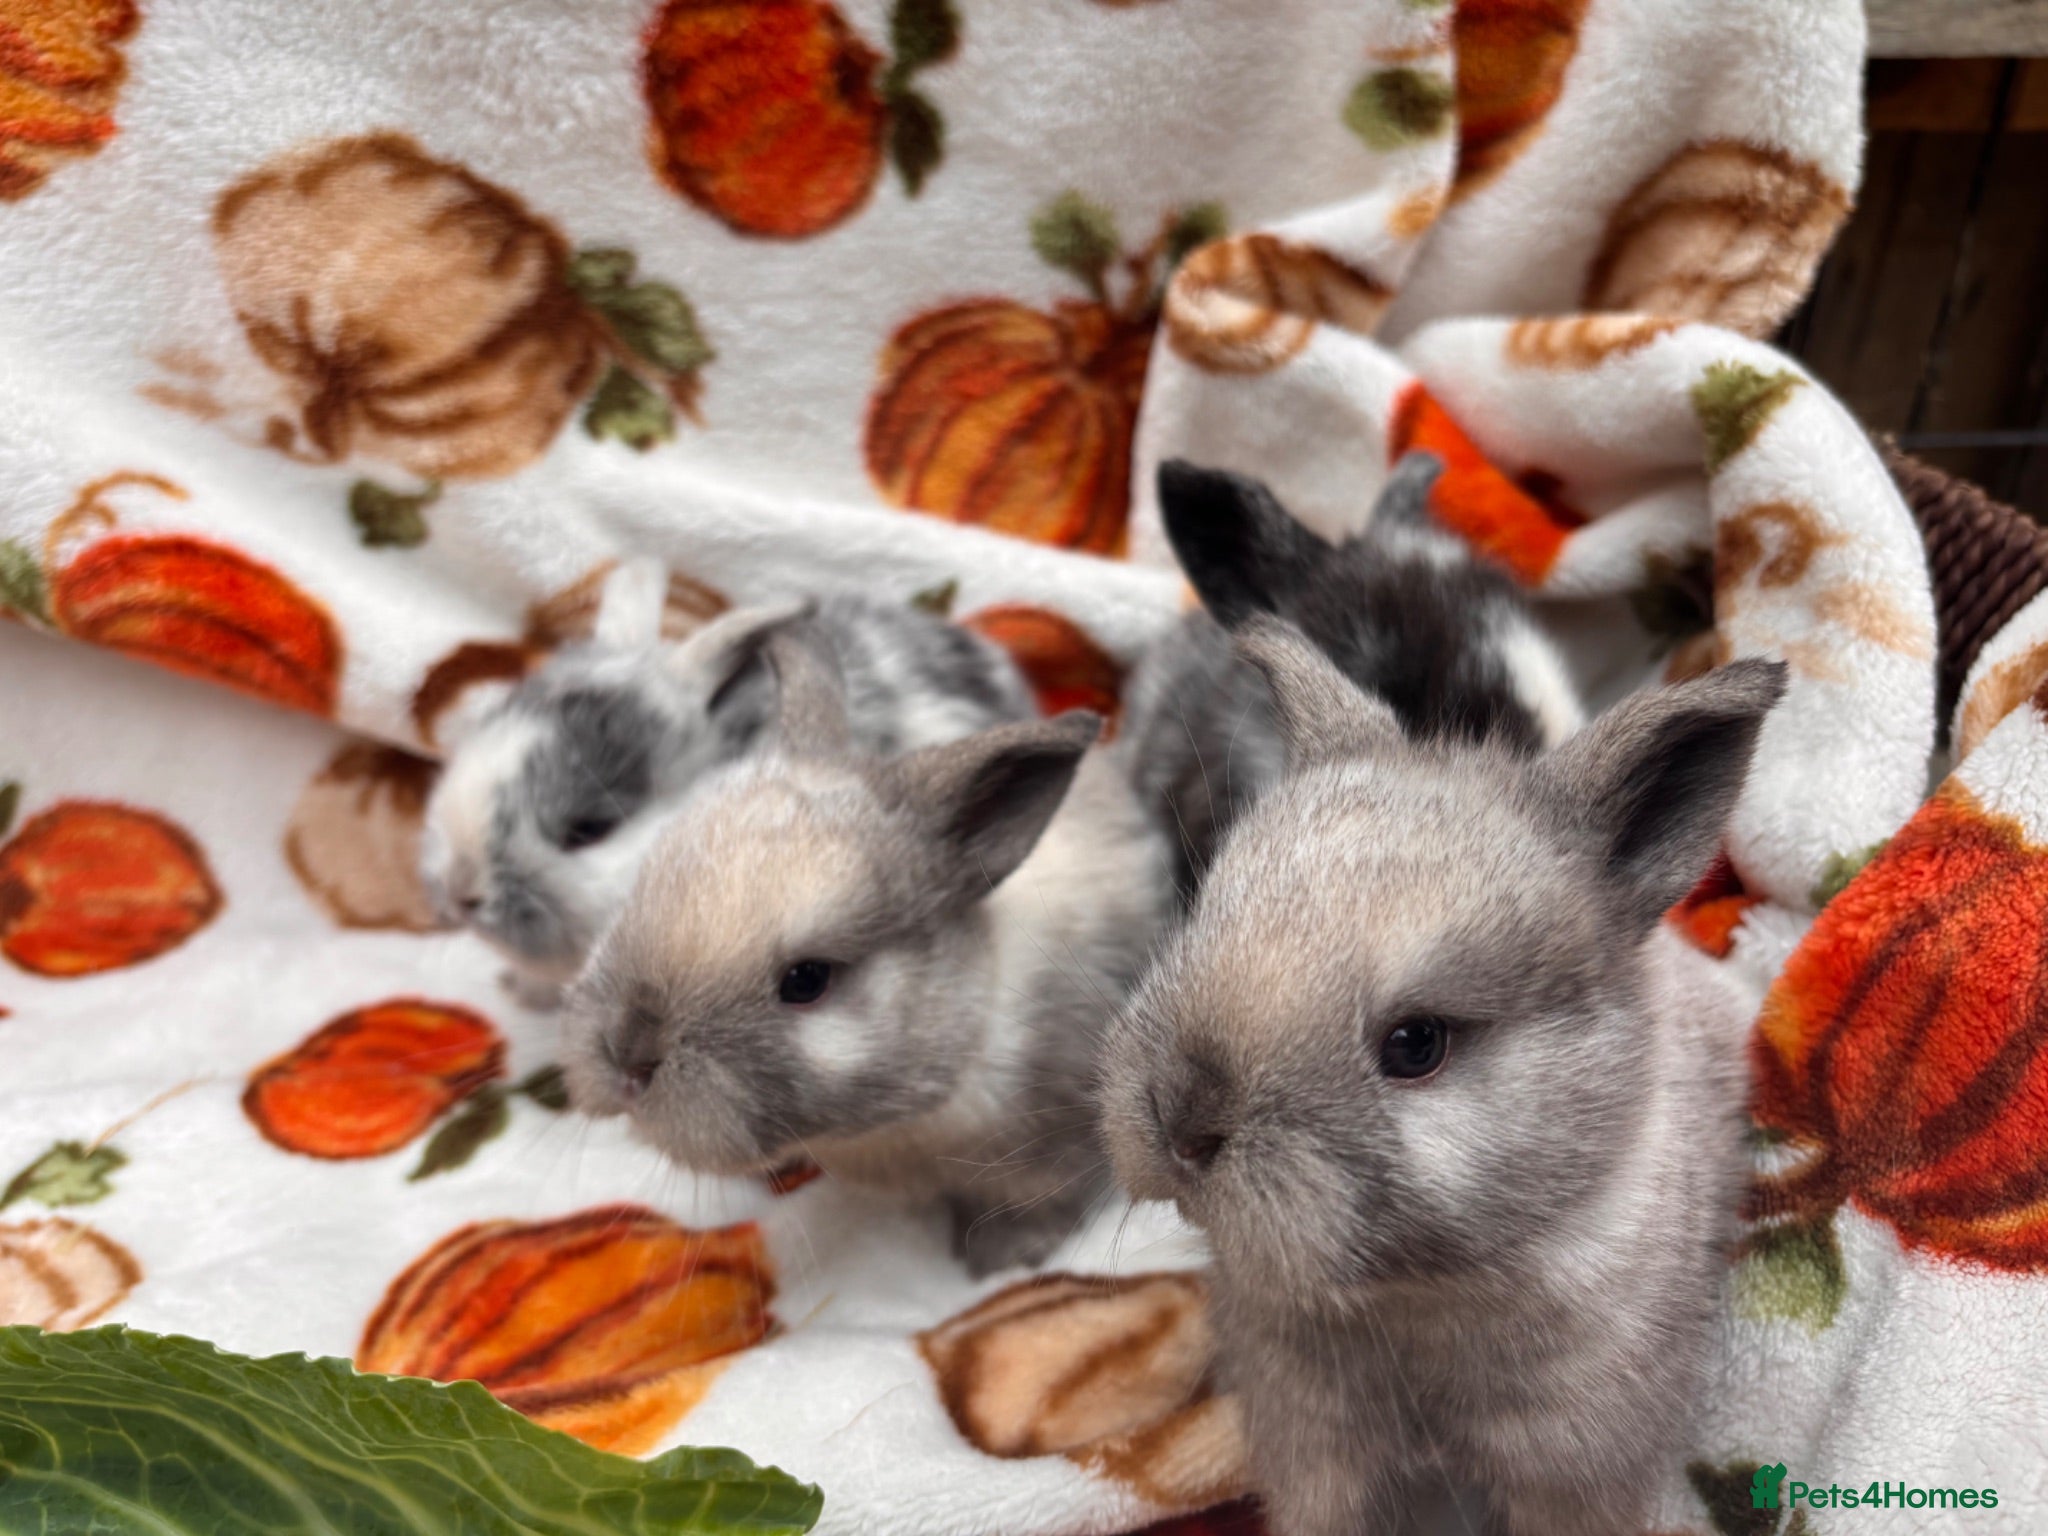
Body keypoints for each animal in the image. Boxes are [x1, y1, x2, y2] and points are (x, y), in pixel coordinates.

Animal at [563, 613, 1176, 1276]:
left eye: (807, 980)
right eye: (645, 882)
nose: (627, 1057)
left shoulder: (1055, 1149)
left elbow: (1038, 1205)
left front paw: (1000, 1262)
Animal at [1098, 614, 1786, 1536]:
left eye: (1416, 1044)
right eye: (1202, 916)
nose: (1182, 1123)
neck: (1414, 1300)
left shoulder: (1574, 1471)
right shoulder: (1317, 1453)